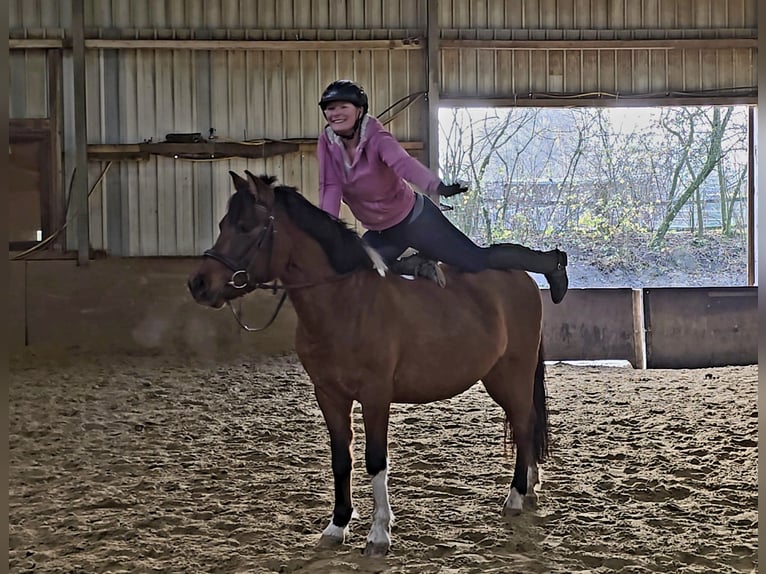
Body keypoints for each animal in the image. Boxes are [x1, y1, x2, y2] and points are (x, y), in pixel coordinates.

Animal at [188, 171, 548, 560]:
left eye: (245, 226)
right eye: (223, 224)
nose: (198, 284)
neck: (344, 302)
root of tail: (524, 279)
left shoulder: (376, 396)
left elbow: (376, 461)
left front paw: (378, 534)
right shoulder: (329, 395)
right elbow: (341, 458)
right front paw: (337, 525)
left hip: (512, 374)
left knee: (524, 422)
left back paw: (516, 495)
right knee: (524, 424)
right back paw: (530, 487)